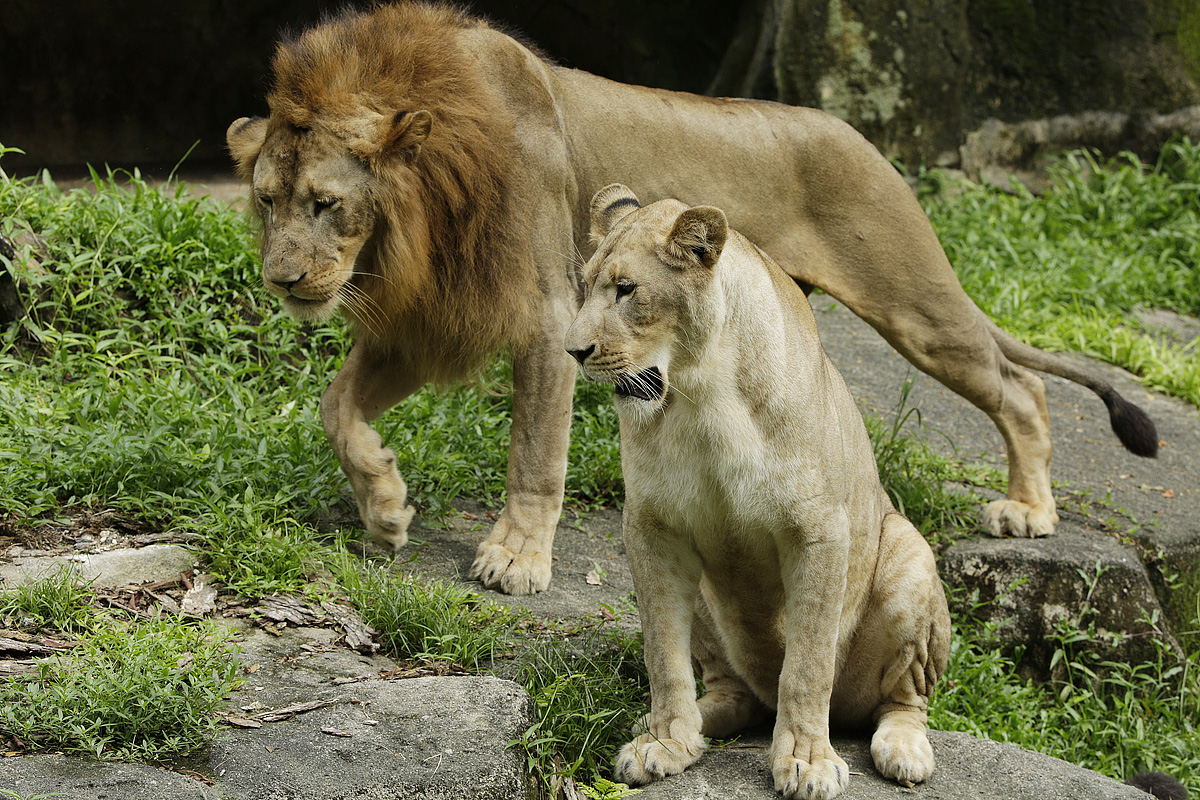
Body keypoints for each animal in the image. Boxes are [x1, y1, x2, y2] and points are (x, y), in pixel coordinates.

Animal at [225, 1, 1152, 594]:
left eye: (325, 202)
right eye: (267, 200)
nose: (281, 279)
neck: (423, 215)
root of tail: (859, 134)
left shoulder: (549, 318)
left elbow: (536, 455)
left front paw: (516, 559)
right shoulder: (431, 323)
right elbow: (336, 407)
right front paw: (384, 509)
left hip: (913, 299)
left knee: (1019, 383)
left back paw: (1028, 509)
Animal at [566, 184, 950, 796]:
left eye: (627, 290)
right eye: (586, 286)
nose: (573, 351)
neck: (701, 393)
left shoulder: (818, 532)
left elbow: (808, 664)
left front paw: (807, 761)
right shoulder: (652, 527)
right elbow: (662, 653)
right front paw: (663, 742)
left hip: (909, 556)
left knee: (900, 701)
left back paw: (903, 750)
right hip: (707, 597)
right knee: (734, 689)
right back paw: (687, 724)